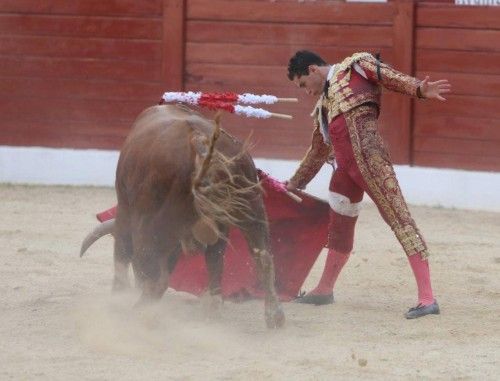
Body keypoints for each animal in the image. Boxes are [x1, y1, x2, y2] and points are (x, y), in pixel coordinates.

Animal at [81, 103, 286, 326]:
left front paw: (117, 298)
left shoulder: (126, 211)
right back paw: (270, 316)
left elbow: (124, 254)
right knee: (262, 256)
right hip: (252, 205)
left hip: (150, 221)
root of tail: (198, 139)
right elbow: (215, 258)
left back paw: (139, 311)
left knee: (154, 273)